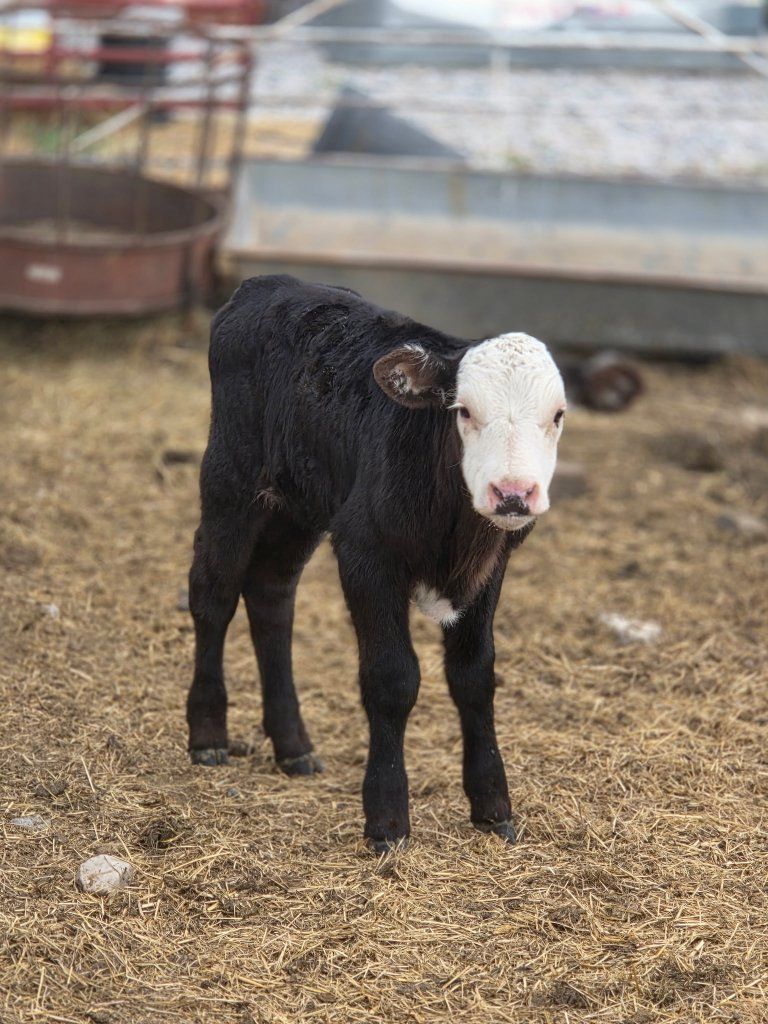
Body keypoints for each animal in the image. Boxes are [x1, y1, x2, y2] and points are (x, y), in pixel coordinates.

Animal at [186, 275, 567, 852]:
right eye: (464, 411)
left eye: (557, 415)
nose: (513, 493)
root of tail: (265, 283)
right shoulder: (365, 551)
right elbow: (392, 679)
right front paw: (387, 820)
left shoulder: (490, 566)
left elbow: (475, 675)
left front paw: (493, 806)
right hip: (231, 475)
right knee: (214, 591)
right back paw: (208, 733)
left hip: (300, 503)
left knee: (272, 595)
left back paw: (293, 745)